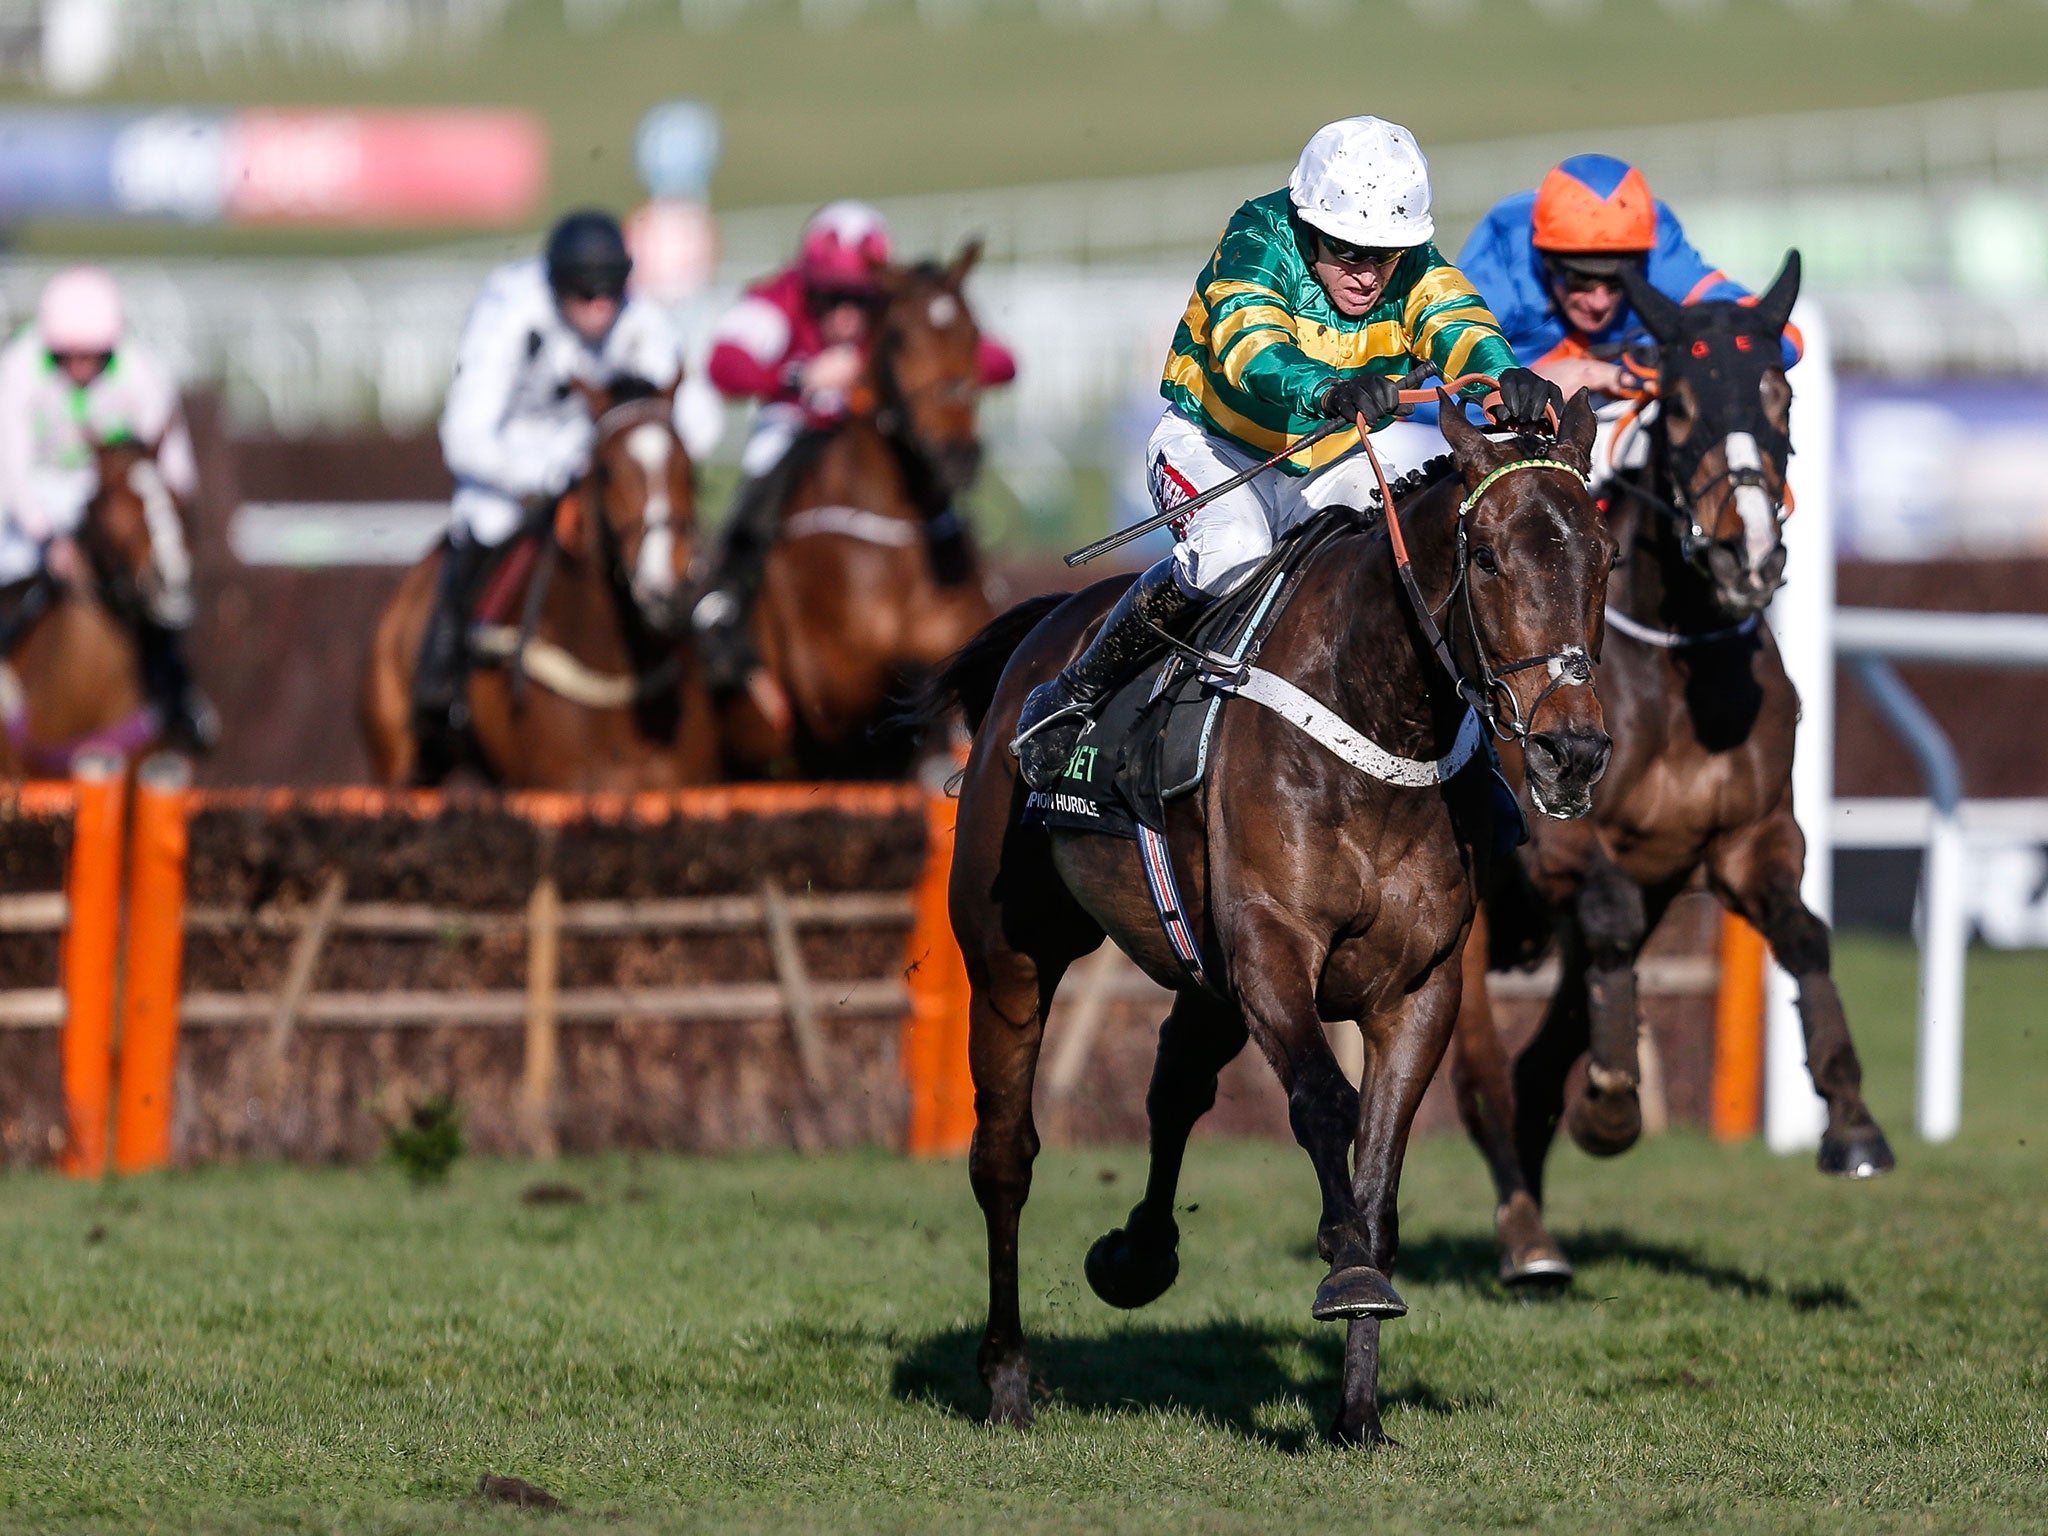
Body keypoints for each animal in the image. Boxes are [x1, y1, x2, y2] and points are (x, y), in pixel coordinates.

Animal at [937, 393, 1613, 1441]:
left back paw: (1136, 1257)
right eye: (1491, 558)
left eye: (1605, 557)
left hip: (1201, 966)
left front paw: (1359, 1408)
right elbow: (1323, 1104)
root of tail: (1041, 636)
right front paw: (1346, 1274)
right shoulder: (1271, 948)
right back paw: (1007, 1375)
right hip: (1011, 952)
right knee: (1004, 1154)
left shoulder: (1419, 987)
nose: (1569, 751)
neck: (1375, 720)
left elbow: (1380, 1172)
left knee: (1175, 1086)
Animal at [1449, 259, 1892, 1294]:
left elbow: (1805, 934)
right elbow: (1602, 908)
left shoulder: (1745, 840)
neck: (1678, 667)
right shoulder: (1557, 839)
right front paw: (1613, 1106)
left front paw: (1851, 1124)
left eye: (1779, 390)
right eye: (1680, 401)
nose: (1747, 551)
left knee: (1537, 1063)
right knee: (1483, 1074)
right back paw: (1524, 1236)